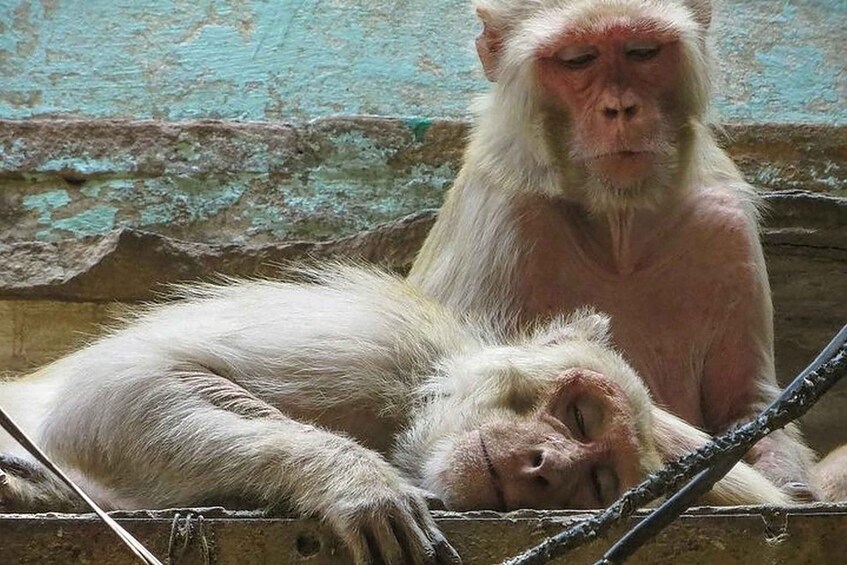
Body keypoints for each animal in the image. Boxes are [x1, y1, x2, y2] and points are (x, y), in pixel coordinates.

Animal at [1, 264, 796, 564]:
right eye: (576, 417)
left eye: (598, 481)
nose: (547, 465)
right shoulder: (371, 350)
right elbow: (112, 392)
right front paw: (357, 481)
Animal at [410, 0, 820, 496]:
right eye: (577, 60)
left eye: (642, 51)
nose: (620, 108)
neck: (618, 232)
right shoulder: (505, 218)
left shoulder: (725, 225)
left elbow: (749, 407)